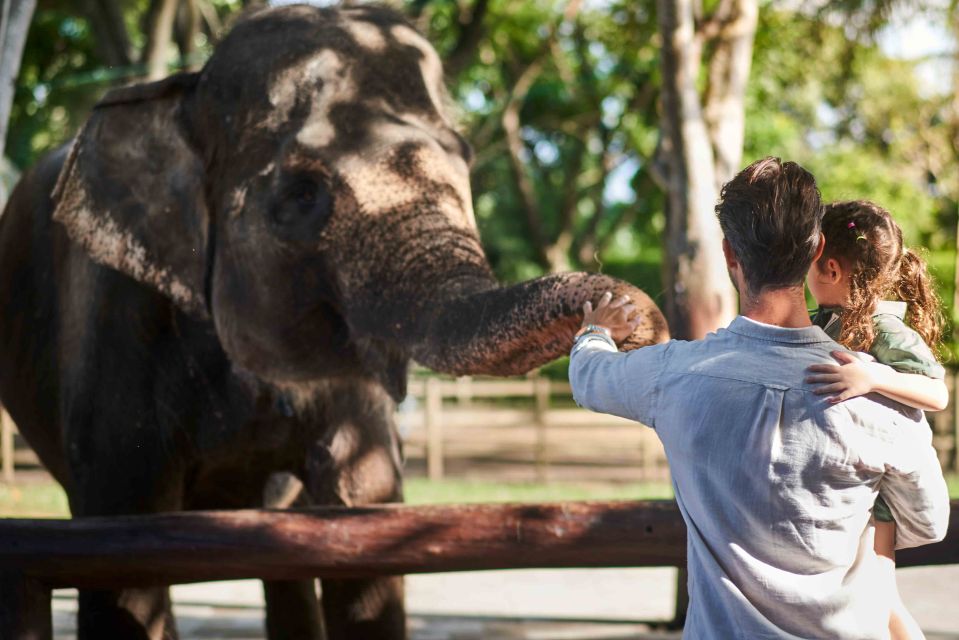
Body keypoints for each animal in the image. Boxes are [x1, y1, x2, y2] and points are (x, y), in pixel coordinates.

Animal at [0, 5, 668, 640]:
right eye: (300, 194)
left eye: (465, 157)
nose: (633, 322)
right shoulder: (114, 317)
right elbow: (122, 552)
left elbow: (361, 517)